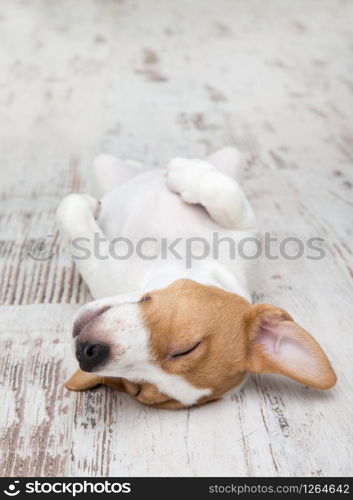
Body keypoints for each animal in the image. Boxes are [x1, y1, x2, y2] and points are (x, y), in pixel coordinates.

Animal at [57, 146, 336, 408]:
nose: (88, 353)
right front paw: (184, 172)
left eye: (135, 386)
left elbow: (71, 214)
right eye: (189, 347)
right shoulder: (244, 232)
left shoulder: (100, 266)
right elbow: (226, 194)